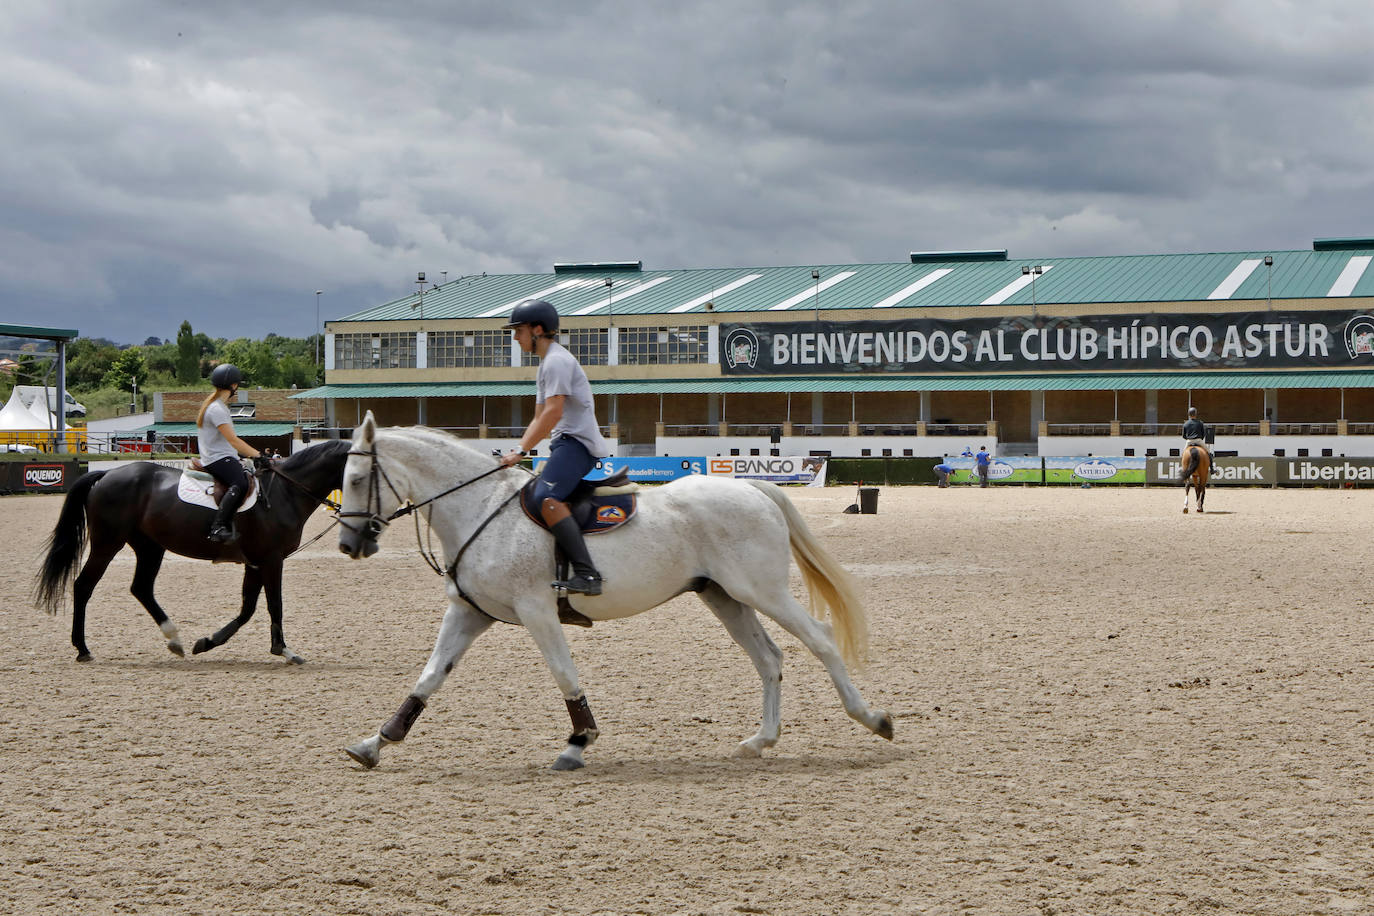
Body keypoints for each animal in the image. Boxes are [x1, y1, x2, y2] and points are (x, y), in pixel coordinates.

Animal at [36, 439, 351, 661]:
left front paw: (208, 642)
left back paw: (174, 639)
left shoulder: (256, 562)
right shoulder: (272, 560)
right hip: (107, 543)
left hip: (150, 547)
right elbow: (275, 604)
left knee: (141, 588)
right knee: (83, 586)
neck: (284, 493)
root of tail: (106, 475)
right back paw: (82, 648)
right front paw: (284, 650)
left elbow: (248, 608)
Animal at [332, 411, 890, 769]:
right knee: (769, 659)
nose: (348, 544)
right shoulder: (468, 613)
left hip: (762, 591)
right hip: (724, 596)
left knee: (819, 640)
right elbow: (429, 677)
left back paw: (871, 718)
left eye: (357, 478)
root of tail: (752, 487)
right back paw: (761, 740)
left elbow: (564, 675)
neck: (480, 508)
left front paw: (579, 742)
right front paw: (375, 743)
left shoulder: (537, 610)